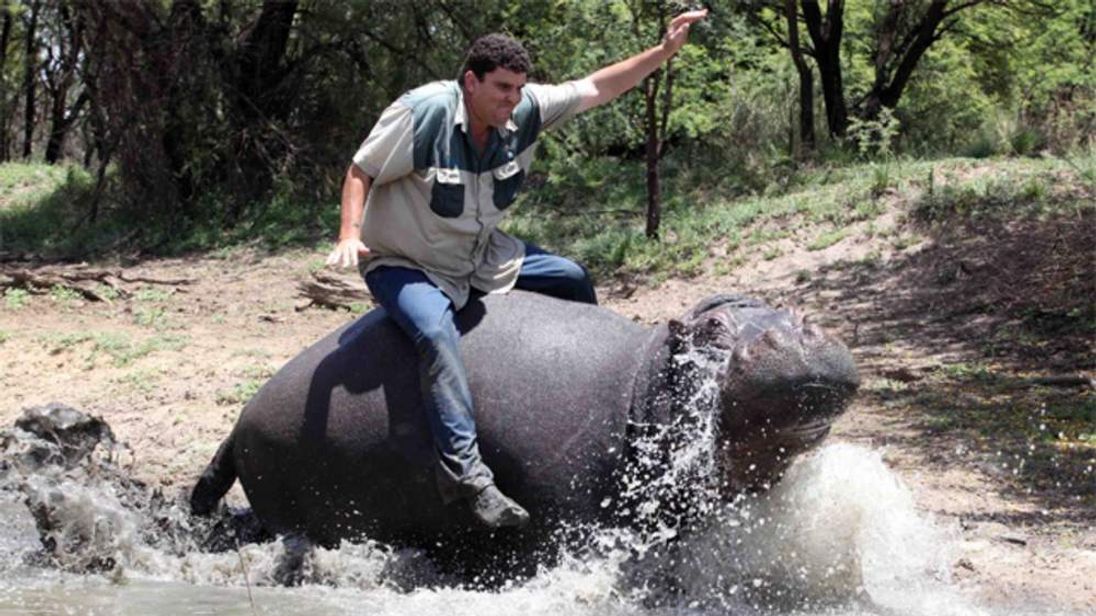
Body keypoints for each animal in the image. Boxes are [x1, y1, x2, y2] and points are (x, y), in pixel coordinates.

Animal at [190, 291, 858, 561]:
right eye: (714, 330)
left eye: (790, 308)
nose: (796, 332)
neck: (638, 389)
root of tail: (238, 421)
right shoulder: (566, 516)